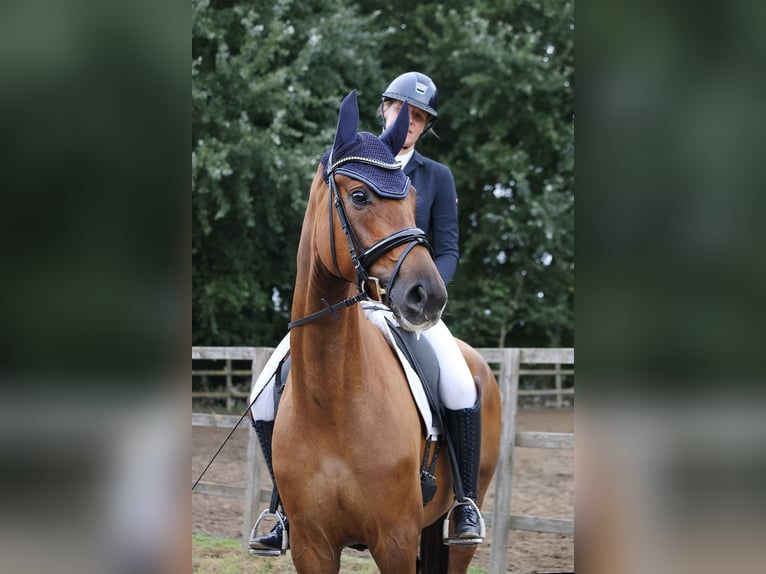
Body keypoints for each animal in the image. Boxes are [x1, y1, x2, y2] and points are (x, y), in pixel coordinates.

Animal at [271, 90, 501, 574]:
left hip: (457, 535)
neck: (332, 401)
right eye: (359, 196)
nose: (428, 296)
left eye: (413, 198)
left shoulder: (394, 539)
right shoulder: (311, 547)